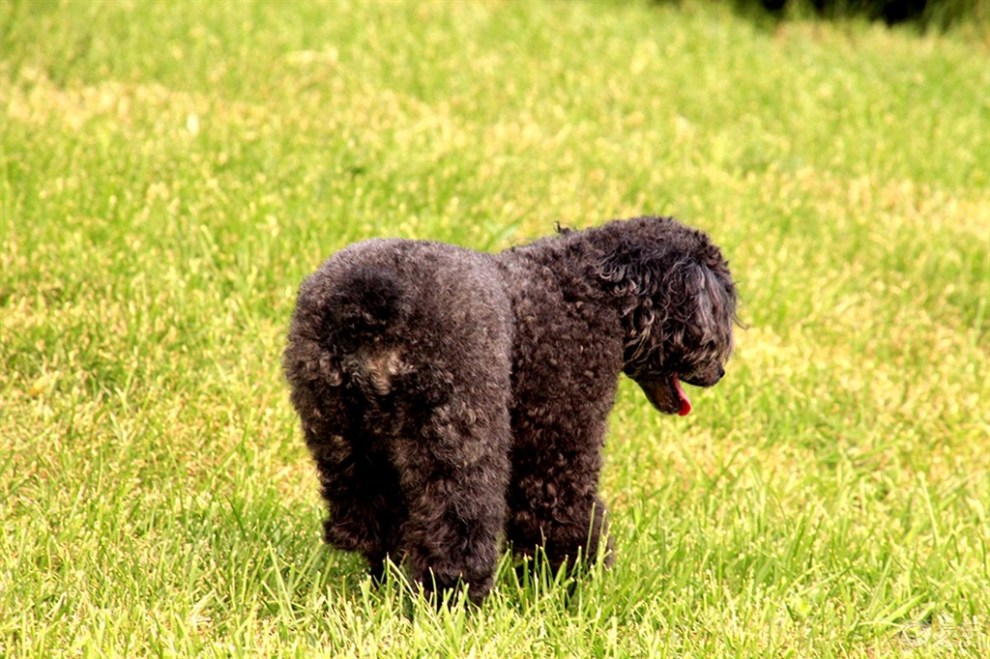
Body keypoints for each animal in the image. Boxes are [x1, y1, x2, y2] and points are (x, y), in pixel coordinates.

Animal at [284, 217, 736, 604]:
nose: (719, 372)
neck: (593, 286)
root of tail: (373, 302)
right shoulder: (557, 439)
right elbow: (562, 515)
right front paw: (572, 582)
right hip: (459, 437)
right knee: (457, 527)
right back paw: (455, 597)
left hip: (343, 439)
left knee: (373, 520)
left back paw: (389, 582)